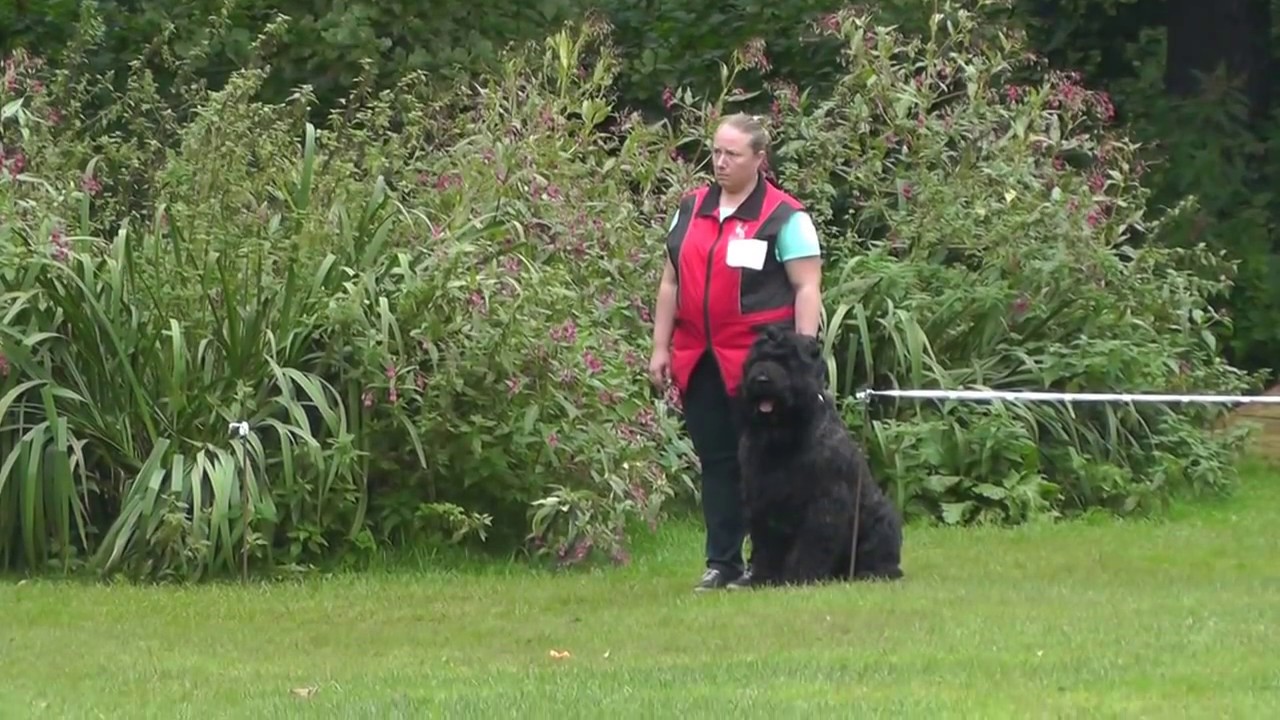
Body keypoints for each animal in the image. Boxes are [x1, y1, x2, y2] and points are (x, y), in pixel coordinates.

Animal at [734, 324, 904, 587]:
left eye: (787, 360)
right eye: (756, 360)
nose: (761, 379)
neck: (786, 437)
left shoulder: (825, 502)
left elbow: (813, 543)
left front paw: (800, 576)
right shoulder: (762, 499)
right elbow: (766, 546)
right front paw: (763, 576)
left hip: (881, 519)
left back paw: (874, 571)